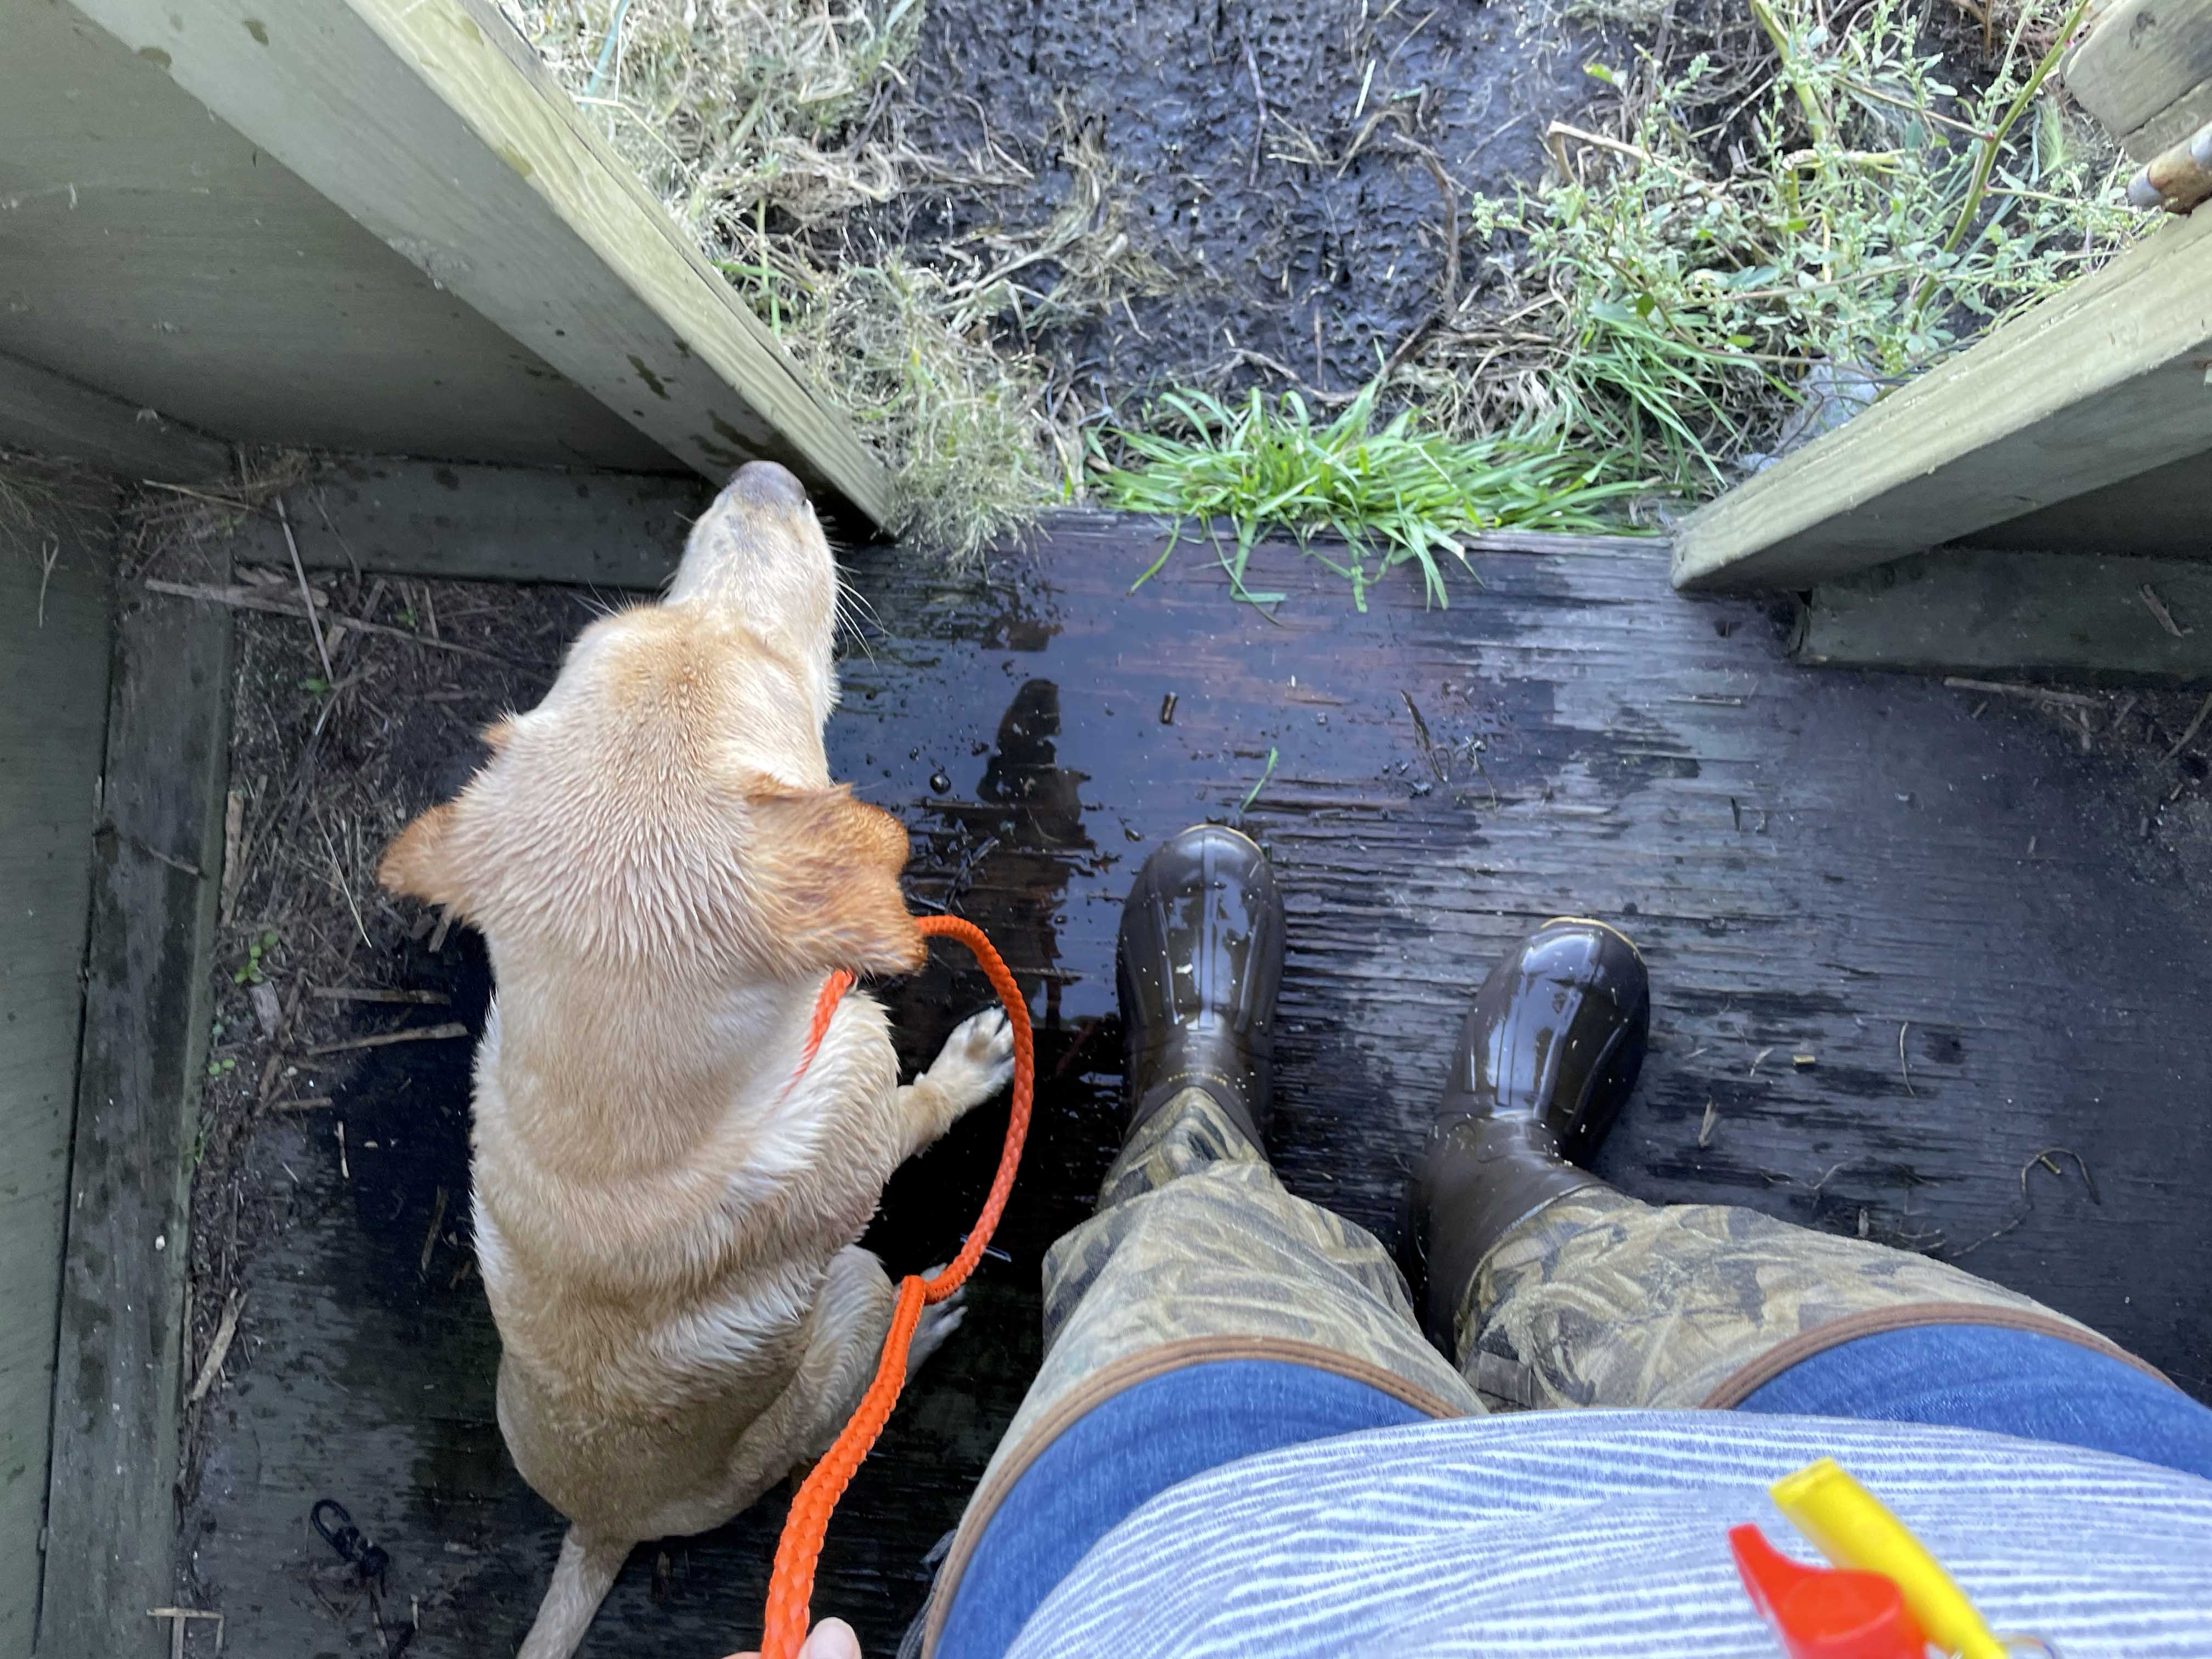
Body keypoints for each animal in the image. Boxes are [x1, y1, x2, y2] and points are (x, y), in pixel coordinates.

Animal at [380, 462, 1013, 1654]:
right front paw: (970, 1065)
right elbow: (917, 1107)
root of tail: (603, 1529)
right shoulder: (863, 1099)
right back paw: (930, 1327)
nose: (767, 477)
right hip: (854, 1299)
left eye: (634, 618)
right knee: (865, 1375)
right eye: (778, 670)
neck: (610, 1134)